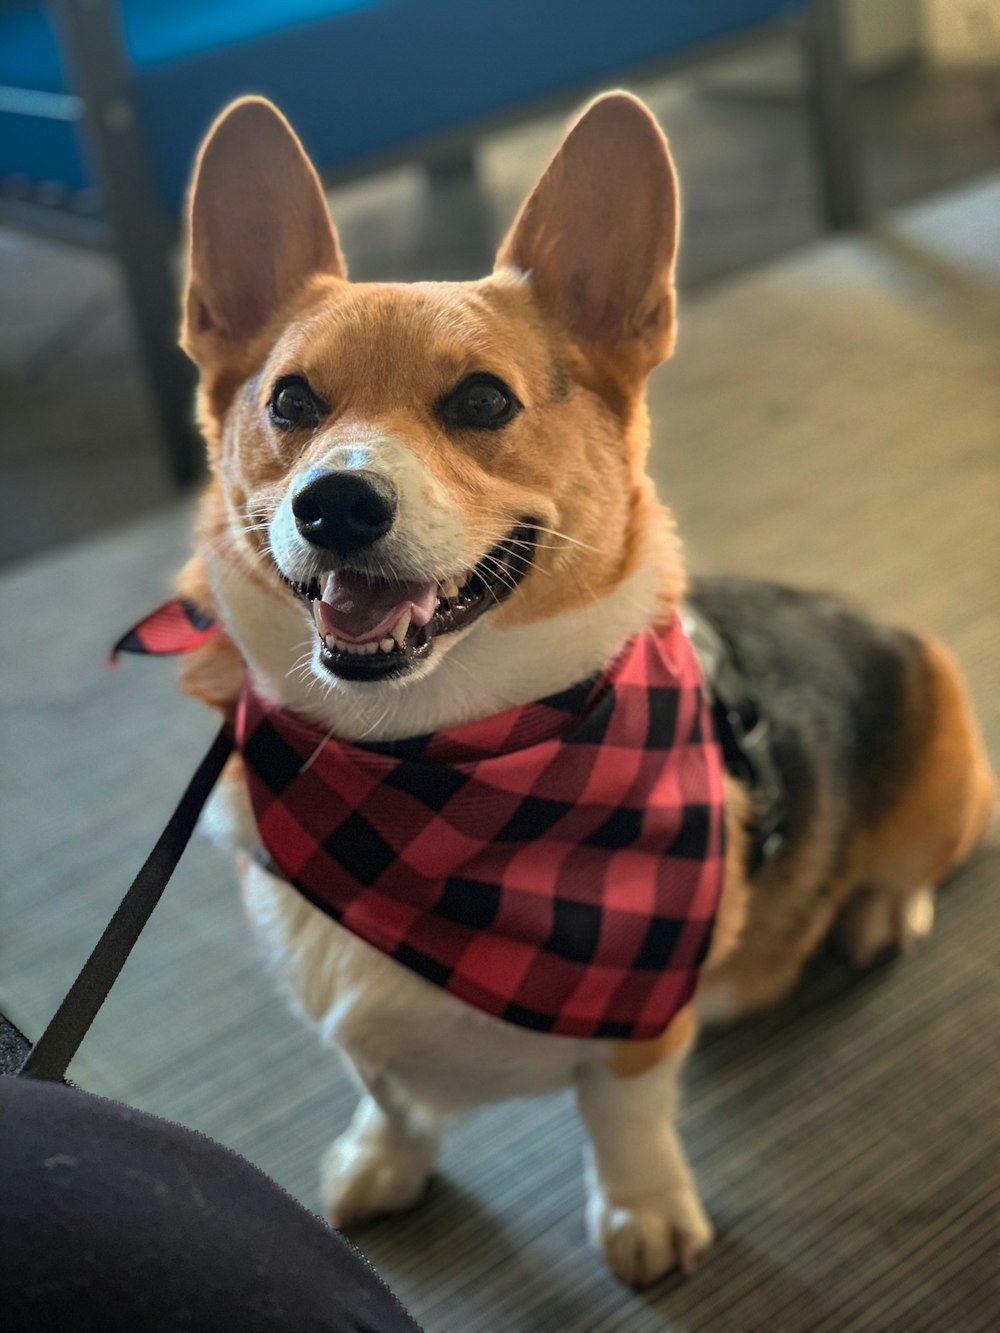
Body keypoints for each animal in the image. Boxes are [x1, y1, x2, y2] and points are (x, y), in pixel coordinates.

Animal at [176, 85, 997, 1290]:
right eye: (290, 400)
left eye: (481, 401)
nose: (334, 505)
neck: (423, 765)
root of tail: (887, 625)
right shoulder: (348, 1014)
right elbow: (388, 1090)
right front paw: (383, 1160)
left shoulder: (636, 1016)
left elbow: (624, 1118)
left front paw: (642, 1213)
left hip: (937, 756)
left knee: (919, 863)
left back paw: (879, 910)